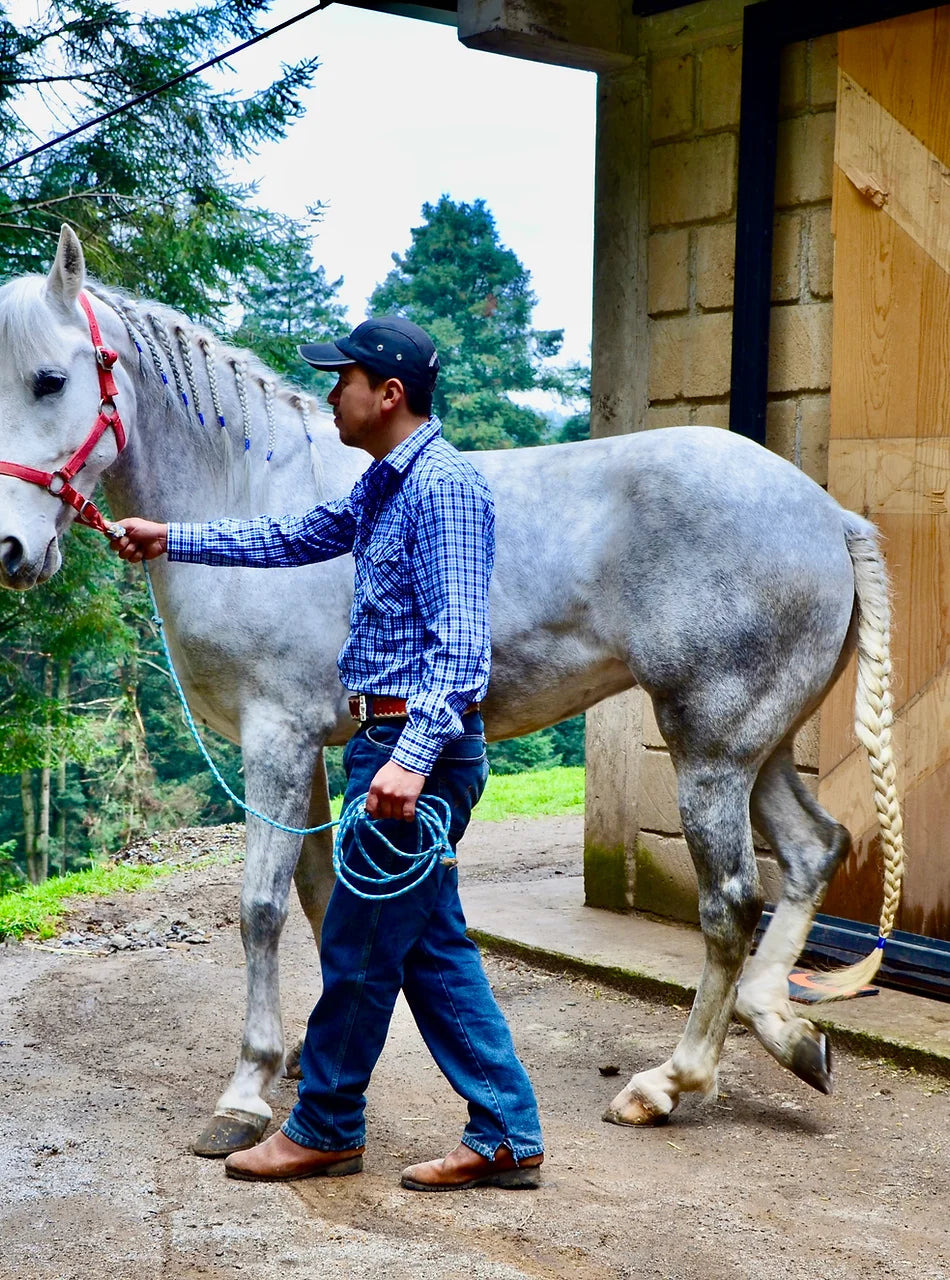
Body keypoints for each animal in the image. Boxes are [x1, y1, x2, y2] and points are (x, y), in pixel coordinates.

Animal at [0, 225, 906, 1157]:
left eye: (50, 380)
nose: (10, 550)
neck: (251, 484)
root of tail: (829, 516)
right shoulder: (313, 750)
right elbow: (322, 898)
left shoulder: (275, 738)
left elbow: (260, 907)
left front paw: (246, 1092)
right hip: (756, 747)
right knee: (814, 850)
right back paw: (788, 1032)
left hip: (710, 752)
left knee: (730, 904)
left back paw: (668, 1084)